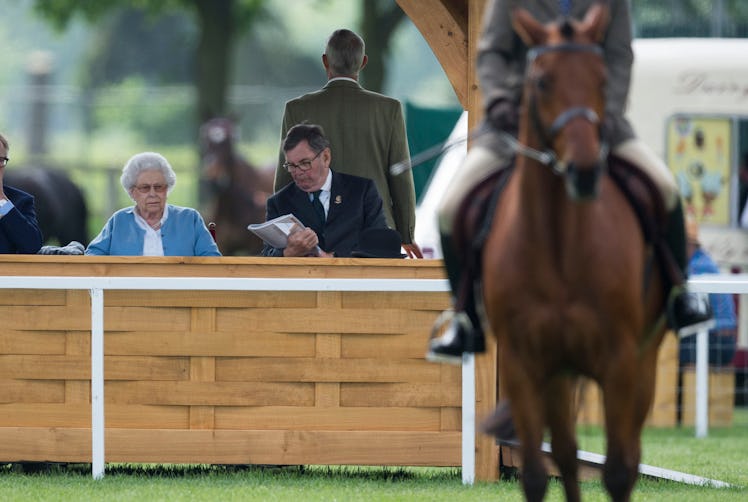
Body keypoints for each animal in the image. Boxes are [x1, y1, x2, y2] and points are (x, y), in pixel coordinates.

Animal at [486, 4, 668, 502]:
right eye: (542, 80)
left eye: (602, 79)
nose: (584, 172)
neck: (559, 247)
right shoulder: (523, 364)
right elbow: (537, 472)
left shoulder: (621, 363)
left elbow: (619, 470)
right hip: (558, 372)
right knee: (565, 455)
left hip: (641, 363)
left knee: (627, 451)